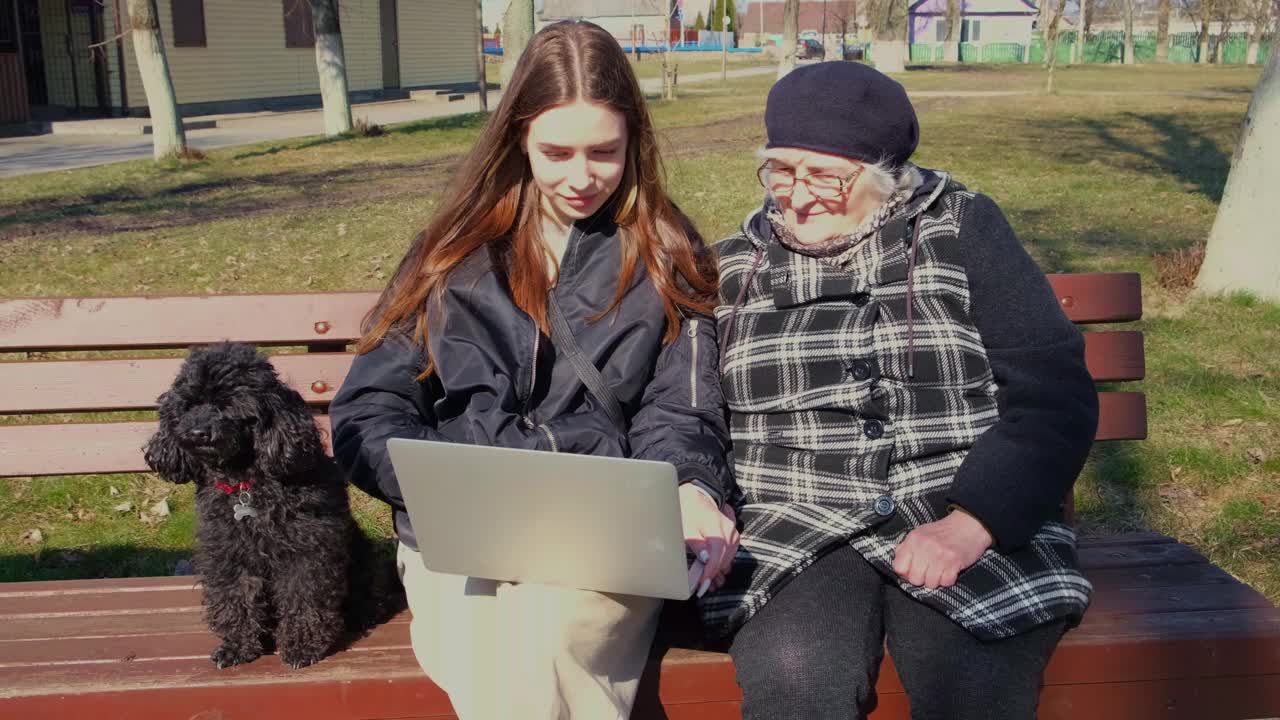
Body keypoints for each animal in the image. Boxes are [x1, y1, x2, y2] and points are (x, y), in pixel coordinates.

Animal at [144, 340, 399, 666]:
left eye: (229, 403)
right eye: (188, 405)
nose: (196, 433)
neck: (247, 484)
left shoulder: (306, 550)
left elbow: (304, 598)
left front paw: (303, 646)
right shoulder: (228, 554)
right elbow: (235, 598)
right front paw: (238, 646)